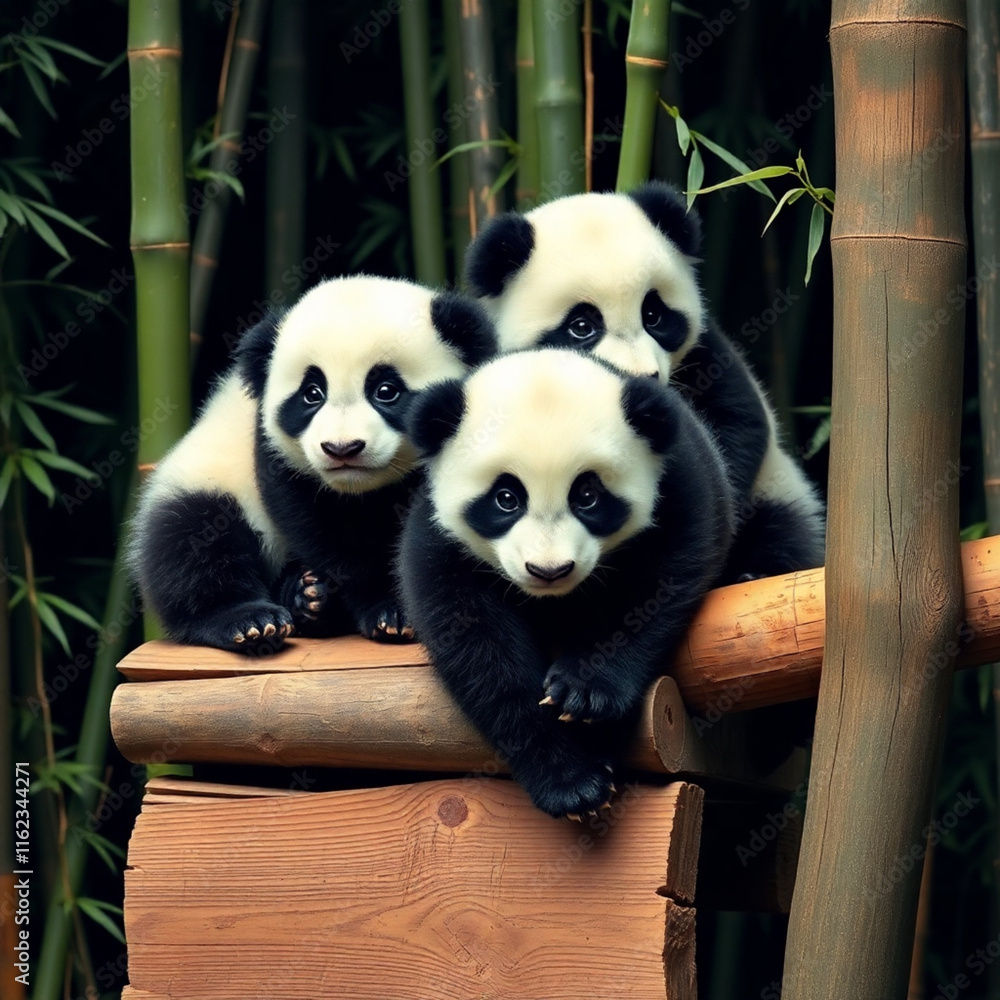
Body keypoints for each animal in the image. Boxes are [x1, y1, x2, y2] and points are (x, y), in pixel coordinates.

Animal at [129, 275, 495, 653]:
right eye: (312, 394)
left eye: (386, 390)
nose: (342, 448)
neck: (359, 490)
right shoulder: (275, 455)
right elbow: (320, 529)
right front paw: (387, 609)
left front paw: (395, 611)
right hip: (206, 471)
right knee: (192, 539)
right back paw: (258, 616)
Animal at [397, 348, 735, 817]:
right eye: (506, 498)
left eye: (587, 495)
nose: (549, 570)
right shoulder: (441, 539)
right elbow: (478, 646)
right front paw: (572, 784)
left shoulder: (680, 485)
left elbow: (658, 586)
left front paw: (586, 694)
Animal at [464, 181, 825, 584]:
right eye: (581, 326)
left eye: (652, 314)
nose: (643, 378)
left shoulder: (706, 353)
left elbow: (738, 423)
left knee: (783, 529)